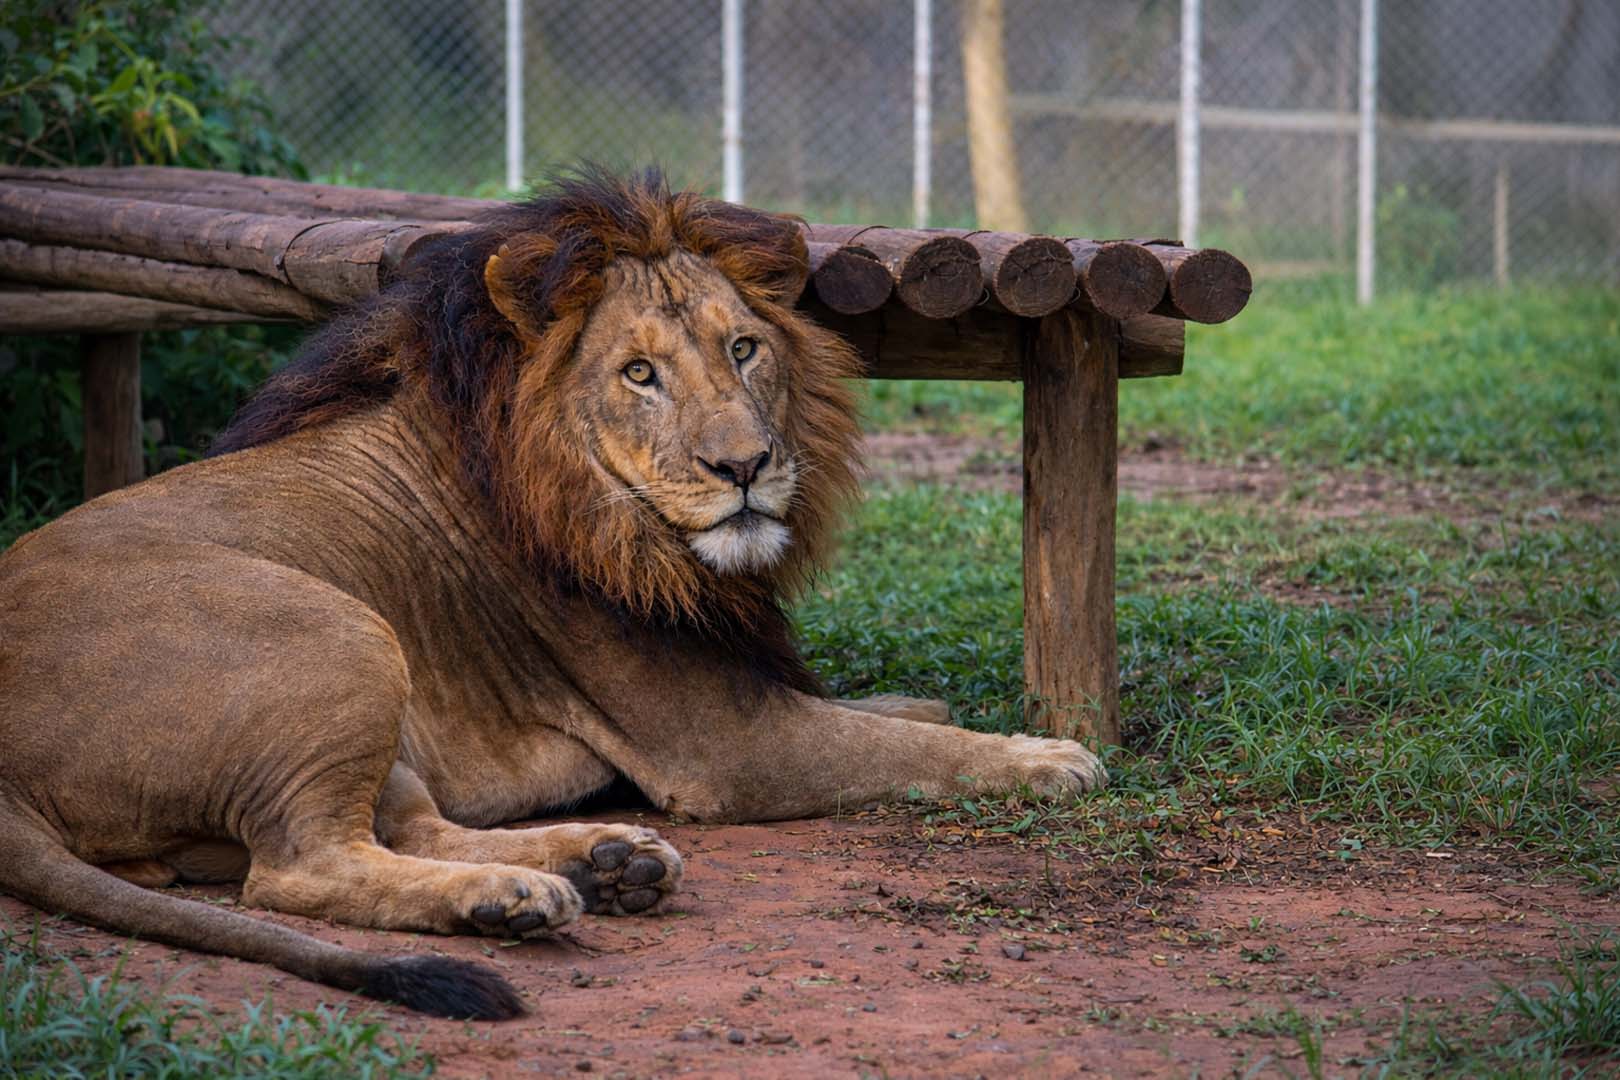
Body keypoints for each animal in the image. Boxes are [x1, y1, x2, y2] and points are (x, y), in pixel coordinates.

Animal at [0, 169, 1104, 1020]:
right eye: (639, 374)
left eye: (744, 348)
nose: (745, 466)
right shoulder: (727, 748)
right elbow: (903, 748)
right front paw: (1046, 758)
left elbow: (895, 714)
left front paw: (933, 705)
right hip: (336, 631)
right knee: (299, 865)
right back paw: (521, 893)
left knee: (405, 828)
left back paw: (599, 864)